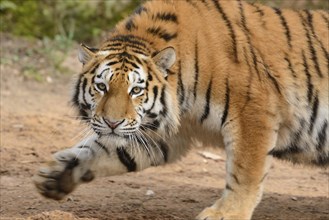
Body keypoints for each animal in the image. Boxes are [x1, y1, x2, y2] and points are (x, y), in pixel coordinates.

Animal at [32, 0, 326, 219]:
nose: (112, 122)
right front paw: (55, 176)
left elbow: (245, 171)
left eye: (135, 90)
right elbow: (102, 151)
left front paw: (227, 213)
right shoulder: (165, 134)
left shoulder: (253, 110)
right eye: (102, 87)